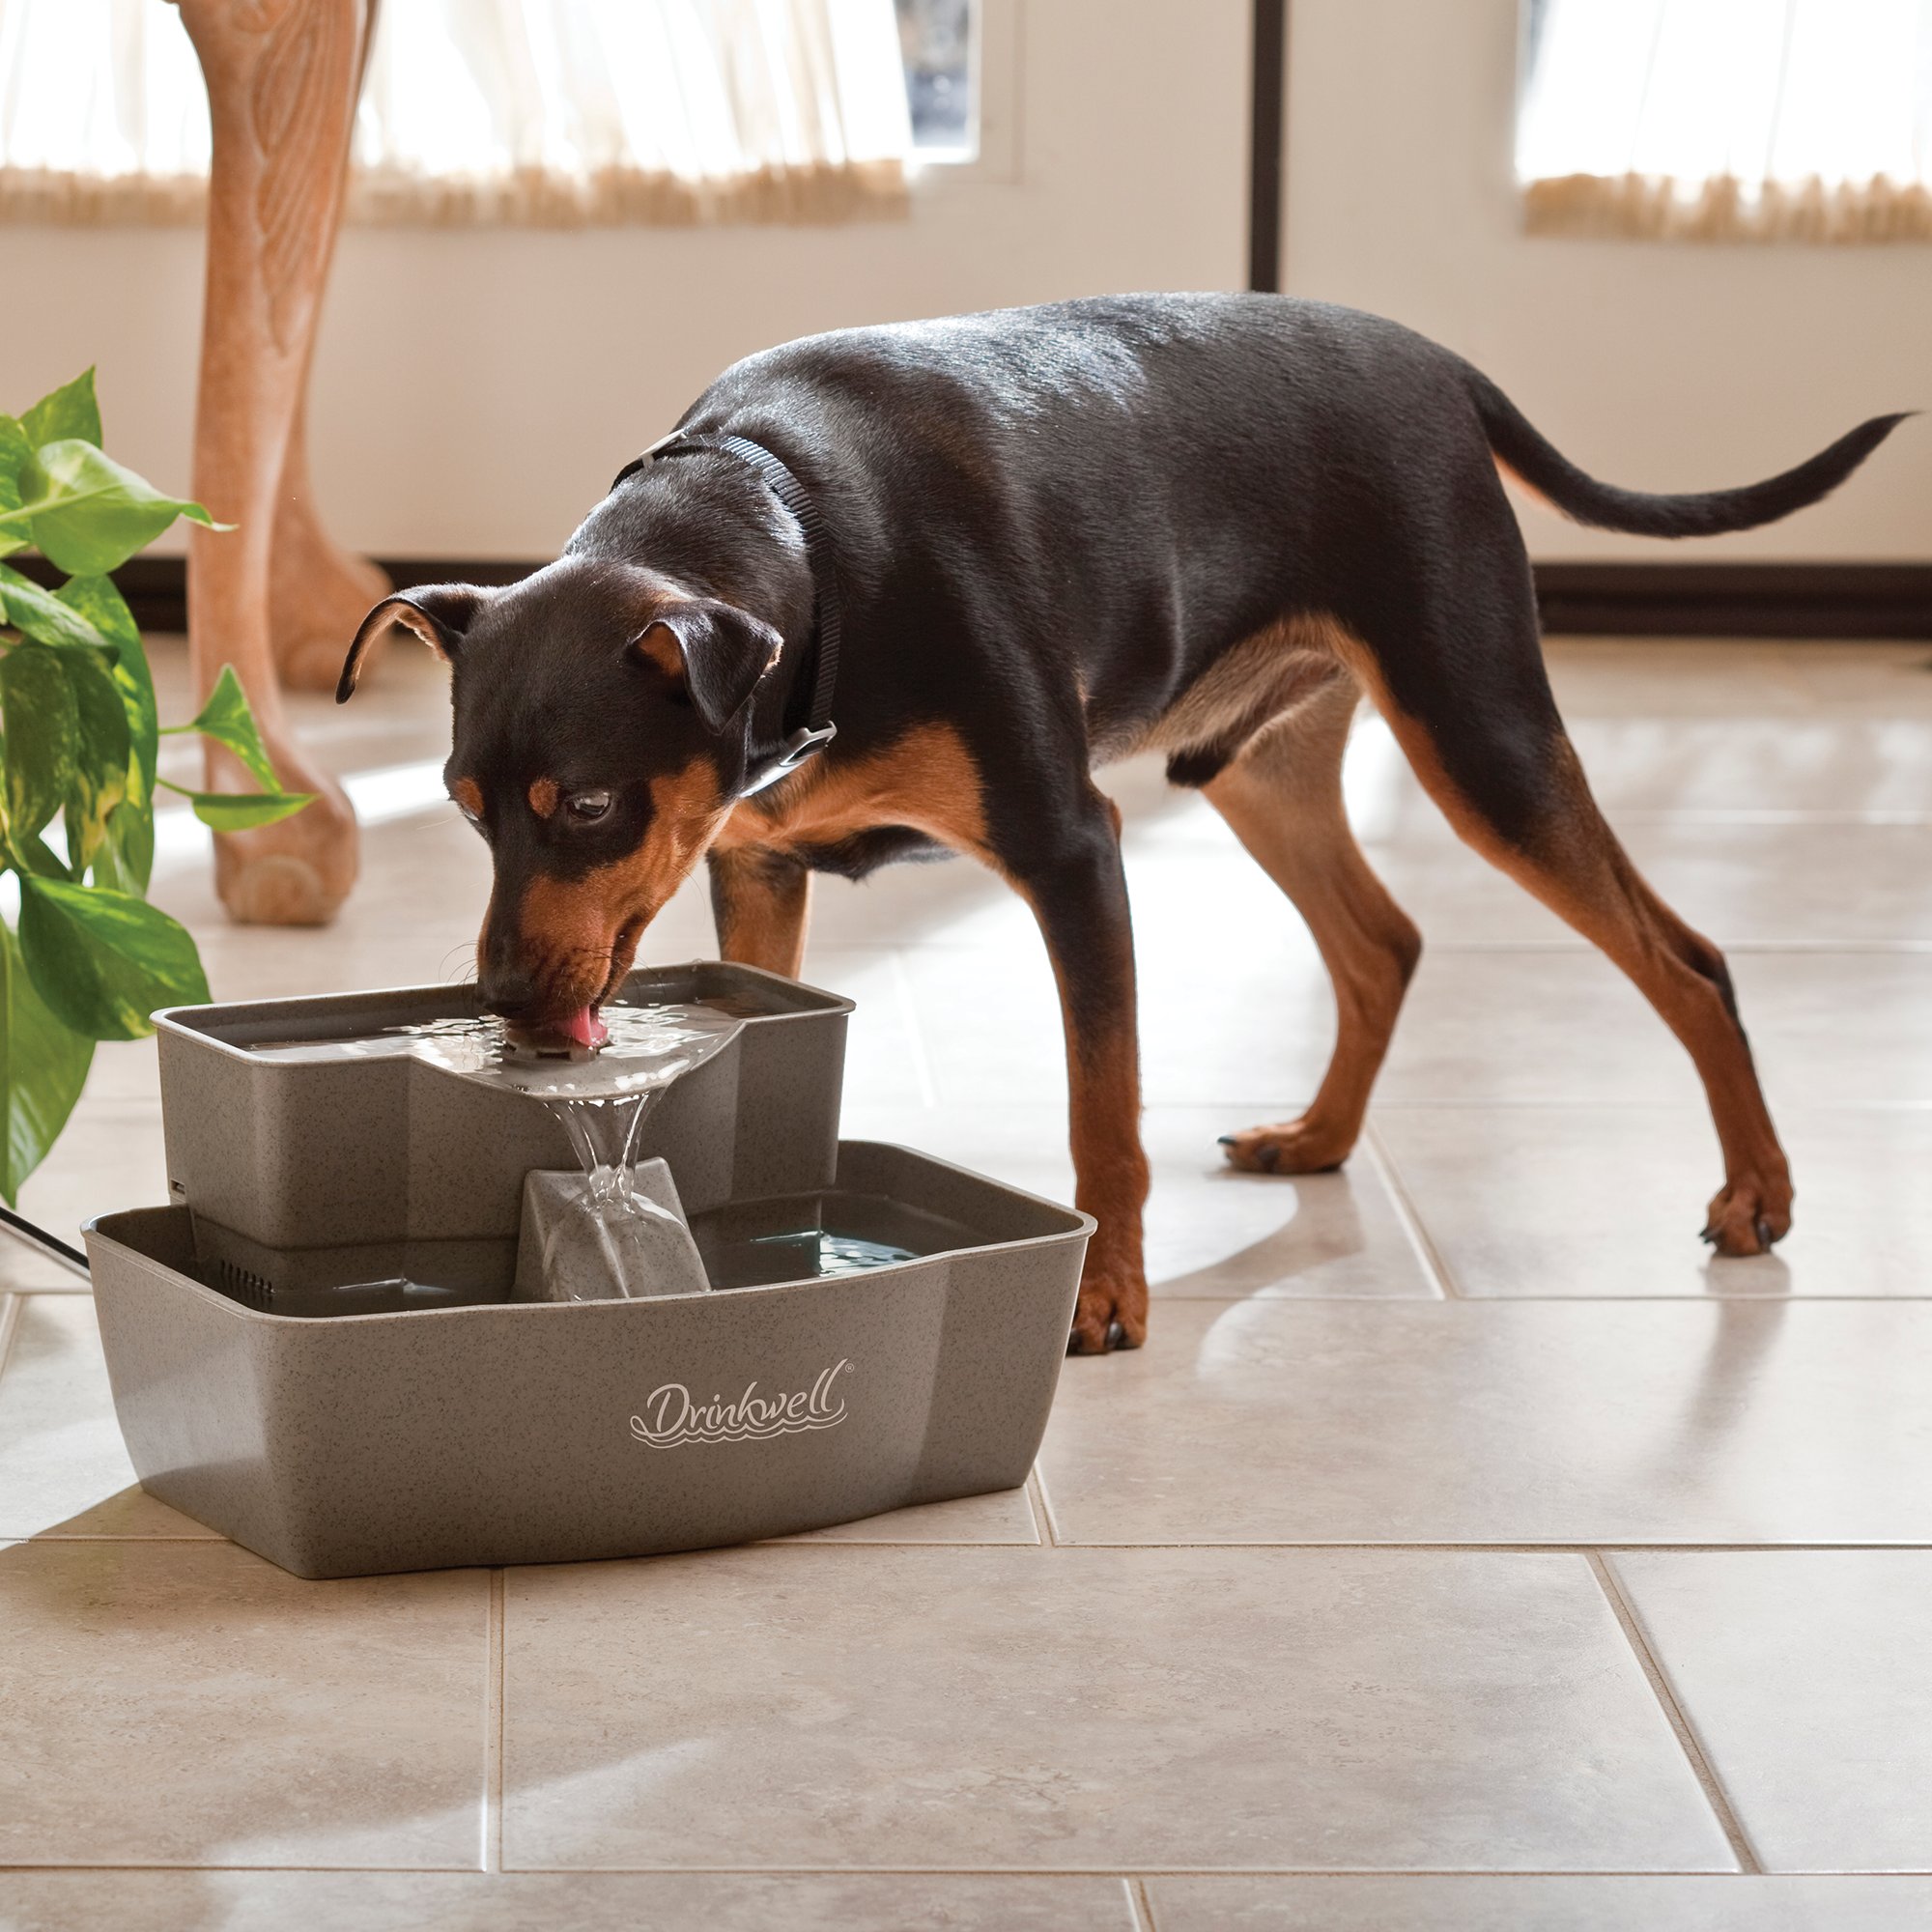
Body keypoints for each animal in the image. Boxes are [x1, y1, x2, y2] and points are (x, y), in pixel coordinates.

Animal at [336, 298, 1901, 1360]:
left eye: (588, 804)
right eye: (466, 809)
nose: (499, 998)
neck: (792, 521)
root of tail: (1435, 364)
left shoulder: (1070, 849)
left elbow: (1105, 1107)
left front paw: (1102, 1295)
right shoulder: (758, 859)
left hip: (1479, 731)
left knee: (1686, 960)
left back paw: (1756, 1195)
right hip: (1258, 763)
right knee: (1383, 941)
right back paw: (1320, 1137)